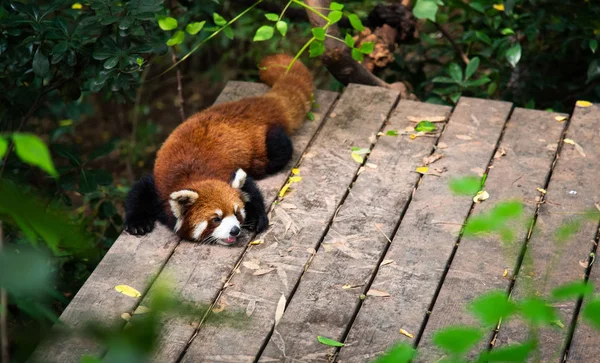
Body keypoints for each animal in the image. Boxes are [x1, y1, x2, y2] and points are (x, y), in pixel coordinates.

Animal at [125, 54, 316, 246]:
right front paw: (137, 223)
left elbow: (251, 189)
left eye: (237, 213)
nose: (235, 229)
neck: (193, 177)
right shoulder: (160, 186)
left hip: (265, 147)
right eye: (216, 219)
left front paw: (256, 217)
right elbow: (140, 189)